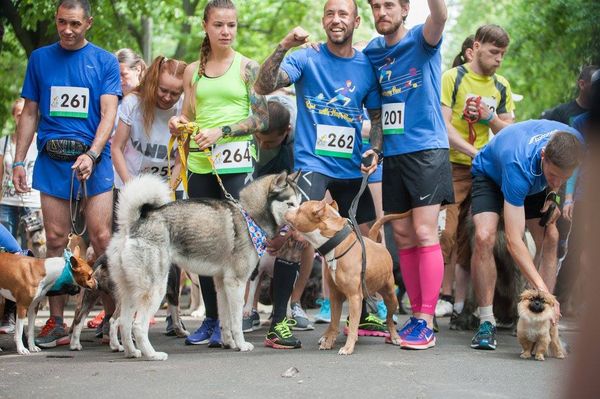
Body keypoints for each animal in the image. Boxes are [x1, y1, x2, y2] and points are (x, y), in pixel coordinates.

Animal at [284, 200, 400, 356]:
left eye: (300, 209)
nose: (288, 204)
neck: (336, 244)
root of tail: (378, 244)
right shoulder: (335, 296)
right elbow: (334, 322)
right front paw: (328, 341)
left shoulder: (354, 296)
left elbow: (352, 326)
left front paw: (348, 347)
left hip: (390, 296)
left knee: (389, 319)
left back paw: (394, 336)